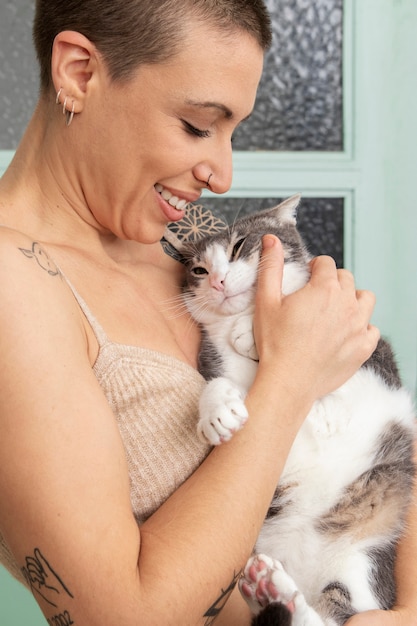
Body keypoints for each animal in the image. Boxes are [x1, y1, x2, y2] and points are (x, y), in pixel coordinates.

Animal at [170, 196, 416, 624]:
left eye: (238, 246)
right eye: (199, 270)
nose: (217, 282)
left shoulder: (376, 361)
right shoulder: (219, 363)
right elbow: (217, 384)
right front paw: (217, 414)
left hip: (365, 562)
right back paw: (271, 591)